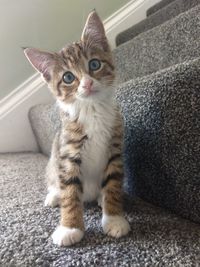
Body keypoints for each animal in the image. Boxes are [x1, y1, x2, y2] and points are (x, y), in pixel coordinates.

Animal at [23, 12, 130, 247]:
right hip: (53, 161)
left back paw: (100, 198)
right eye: (68, 77)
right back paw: (54, 196)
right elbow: (70, 192)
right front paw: (70, 228)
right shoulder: (68, 153)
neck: (92, 110)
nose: (87, 84)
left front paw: (114, 218)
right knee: (56, 183)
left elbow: (113, 184)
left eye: (95, 64)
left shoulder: (115, 147)